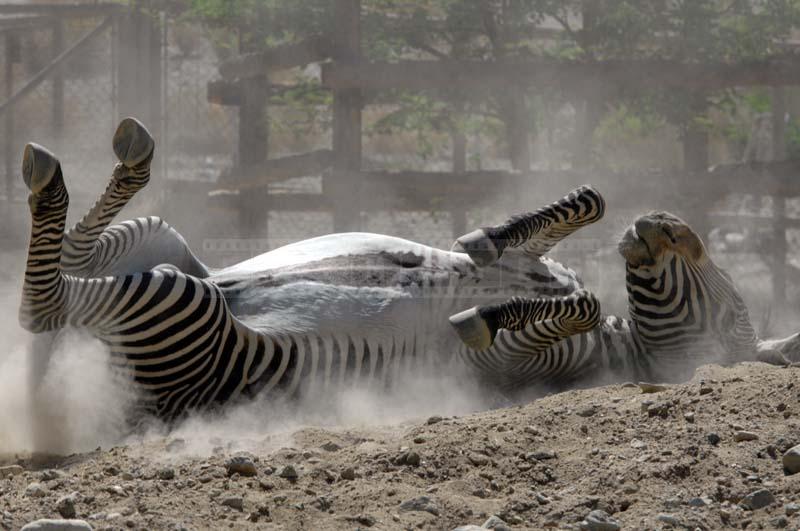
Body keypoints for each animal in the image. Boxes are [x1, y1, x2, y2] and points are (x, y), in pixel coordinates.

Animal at [18, 116, 644, 420]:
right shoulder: (539, 259)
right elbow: (590, 202)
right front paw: (483, 239)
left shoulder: (505, 363)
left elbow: (583, 303)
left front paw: (483, 314)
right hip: (165, 243)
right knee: (74, 261)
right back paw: (120, 159)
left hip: (182, 303)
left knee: (44, 307)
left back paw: (51, 179)